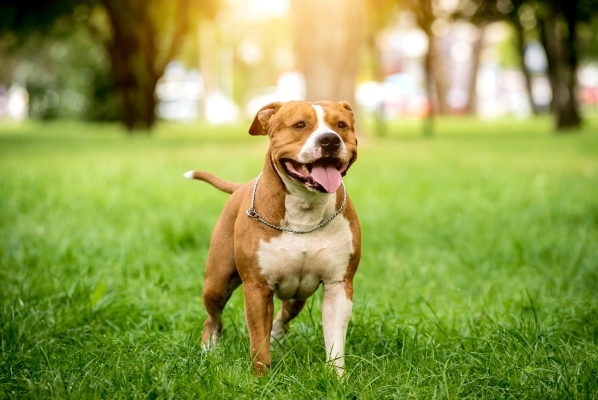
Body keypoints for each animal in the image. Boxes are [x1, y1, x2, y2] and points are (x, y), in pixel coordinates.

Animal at [183, 100, 360, 376]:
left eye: (341, 125)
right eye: (300, 125)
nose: (330, 139)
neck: (304, 210)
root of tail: (241, 187)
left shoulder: (338, 285)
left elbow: (335, 343)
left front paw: (336, 378)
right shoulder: (257, 288)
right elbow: (258, 343)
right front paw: (261, 378)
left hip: (298, 295)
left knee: (282, 318)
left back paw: (276, 340)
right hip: (217, 283)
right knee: (212, 319)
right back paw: (208, 352)